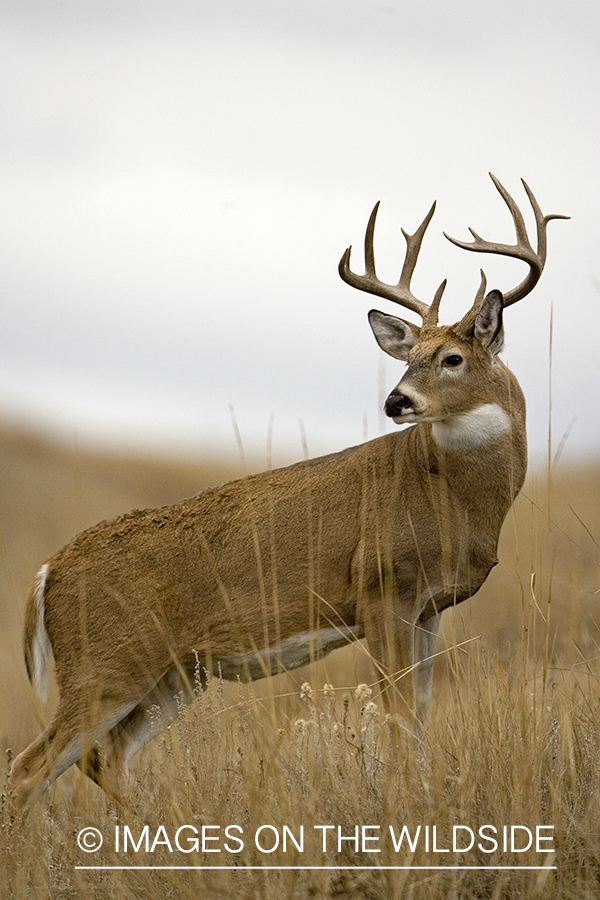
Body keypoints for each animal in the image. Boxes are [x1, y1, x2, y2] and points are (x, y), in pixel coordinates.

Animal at [10, 174, 568, 808]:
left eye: (451, 358)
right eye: (410, 357)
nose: (395, 400)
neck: (449, 496)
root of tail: (47, 571)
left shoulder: (429, 608)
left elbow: (419, 717)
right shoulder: (382, 588)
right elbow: (400, 719)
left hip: (174, 673)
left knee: (103, 756)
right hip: (106, 661)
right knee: (30, 767)